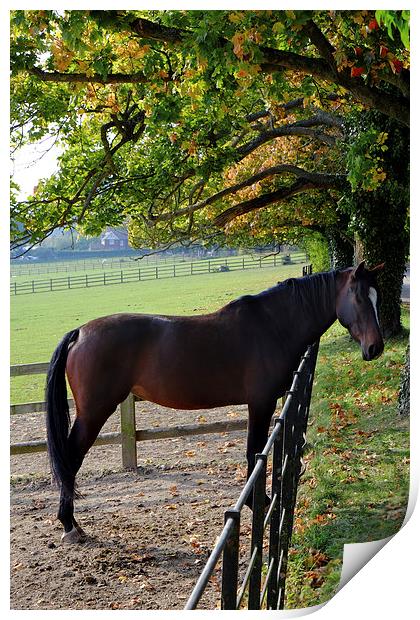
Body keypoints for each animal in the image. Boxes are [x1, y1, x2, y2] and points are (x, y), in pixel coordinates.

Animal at [45, 262, 384, 544]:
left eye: (376, 298)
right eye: (359, 299)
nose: (375, 348)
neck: (273, 326)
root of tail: (80, 333)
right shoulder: (260, 404)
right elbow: (253, 453)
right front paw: (256, 502)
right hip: (94, 413)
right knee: (70, 460)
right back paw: (70, 526)